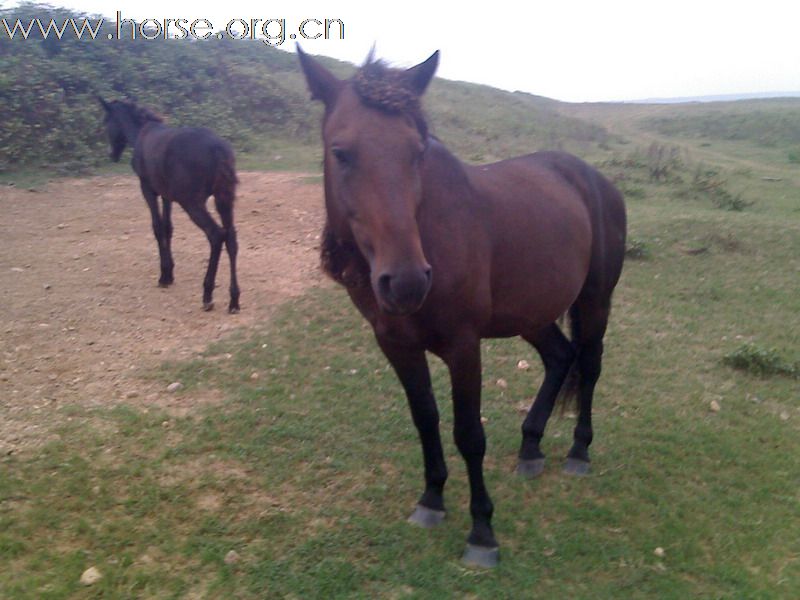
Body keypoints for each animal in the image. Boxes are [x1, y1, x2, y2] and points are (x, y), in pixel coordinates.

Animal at [98, 96, 239, 312]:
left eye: (107, 121)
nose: (111, 154)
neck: (141, 133)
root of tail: (218, 149)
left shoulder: (147, 188)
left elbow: (157, 227)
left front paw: (164, 276)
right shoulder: (166, 195)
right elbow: (168, 227)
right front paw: (170, 272)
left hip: (192, 202)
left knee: (216, 235)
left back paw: (207, 294)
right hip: (224, 198)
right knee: (231, 237)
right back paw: (234, 300)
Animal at [296, 47, 628, 568]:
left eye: (417, 151)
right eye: (340, 152)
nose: (406, 281)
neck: (430, 229)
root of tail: (594, 179)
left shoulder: (463, 346)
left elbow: (469, 434)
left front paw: (482, 532)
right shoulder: (396, 344)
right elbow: (425, 419)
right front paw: (432, 499)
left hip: (595, 300)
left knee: (590, 365)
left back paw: (578, 452)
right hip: (531, 312)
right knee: (560, 357)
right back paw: (530, 447)